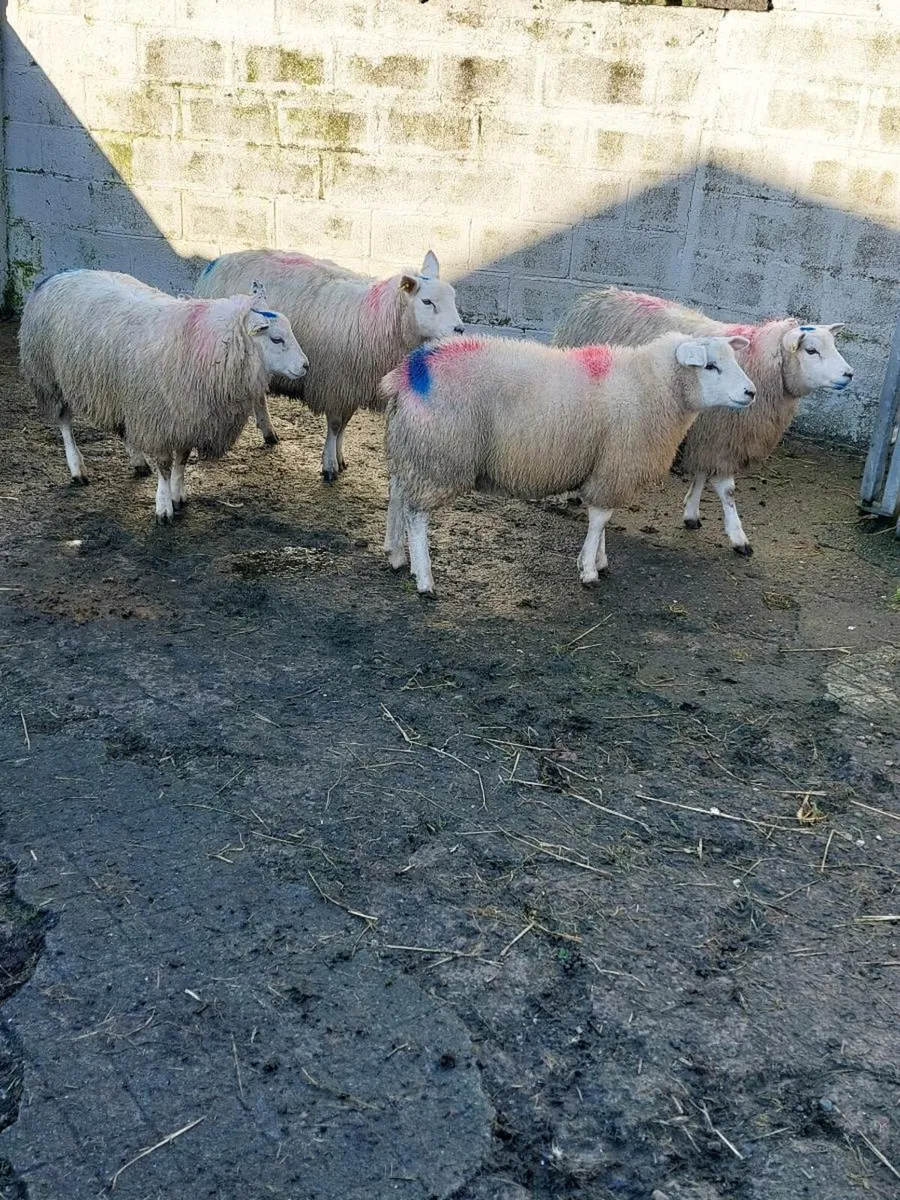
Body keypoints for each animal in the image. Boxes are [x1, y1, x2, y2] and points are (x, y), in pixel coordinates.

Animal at [20, 269, 308, 524]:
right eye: (276, 339)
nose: (306, 366)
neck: (209, 345)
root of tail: (55, 276)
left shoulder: (186, 417)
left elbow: (181, 460)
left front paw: (178, 495)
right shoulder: (160, 417)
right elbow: (165, 465)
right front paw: (163, 506)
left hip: (121, 392)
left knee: (124, 428)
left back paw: (137, 462)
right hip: (50, 377)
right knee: (65, 424)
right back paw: (77, 468)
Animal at [194, 248, 465, 481]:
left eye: (453, 299)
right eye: (427, 302)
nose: (460, 329)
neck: (377, 319)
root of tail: (216, 263)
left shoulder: (352, 385)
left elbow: (344, 424)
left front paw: (340, 457)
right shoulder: (336, 382)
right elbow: (335, 425)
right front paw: (329, 465)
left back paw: (269, 432)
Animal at [379, 331, 756, 597]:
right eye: (711, 366)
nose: (751, 393)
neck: (651, 386)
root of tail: (407, 373)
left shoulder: (605, 467)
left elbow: (604, 520)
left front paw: (599, 560)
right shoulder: (614, 464)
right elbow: (600, 518)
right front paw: (589, 570)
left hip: (410, 448)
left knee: (397, 494)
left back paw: (396, 555)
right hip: (439, 455)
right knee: (416, 515)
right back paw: (425, 579)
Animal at [554, 287, 853, 555]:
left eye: (833, 346)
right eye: (811, 350)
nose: (849, 374)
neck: (761, 365)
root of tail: (594, 297)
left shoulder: (708, 433)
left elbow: (701, 473)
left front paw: (692, 512)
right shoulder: (721, 434)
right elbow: (727, 489)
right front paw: (738, 536)